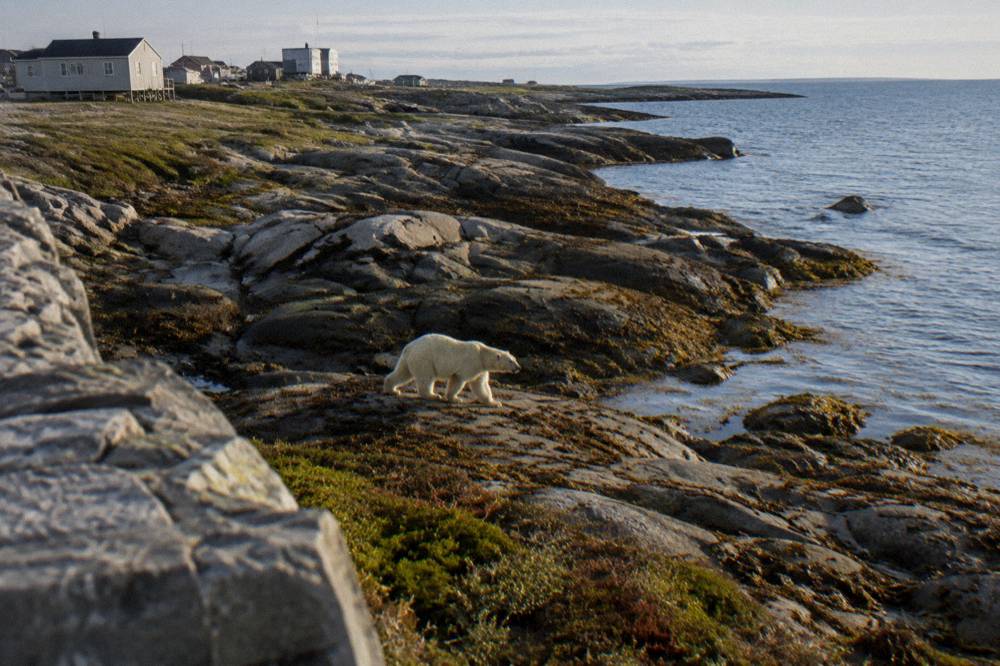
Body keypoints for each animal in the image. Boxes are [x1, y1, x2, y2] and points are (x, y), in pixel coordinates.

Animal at [383, 333, 521, 406]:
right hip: (425, 359)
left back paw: (392, 390)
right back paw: (433, 395)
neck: (482, 354)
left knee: (402, 373)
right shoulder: (471, 363)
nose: (518, 368)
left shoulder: (480, 369)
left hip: (409, 359)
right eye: (511, 361)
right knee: (426, 378)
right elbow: (458, 379)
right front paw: (455, 398)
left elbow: (480, 385)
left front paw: (494, 402)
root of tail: (409, 347)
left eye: (514, 359)